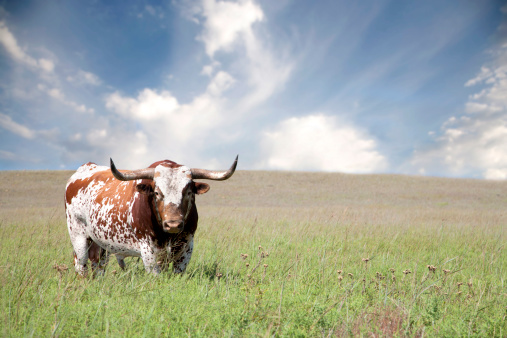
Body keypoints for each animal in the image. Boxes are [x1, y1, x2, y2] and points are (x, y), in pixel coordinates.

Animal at [65, 156, 238, 274]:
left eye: (188, 192)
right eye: (157, 192)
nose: (173, 224)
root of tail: (85, 168)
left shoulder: (186, 247)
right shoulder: (149, 251)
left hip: (100, 243)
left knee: (98, 264)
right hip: (78, 236)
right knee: (80, 264)